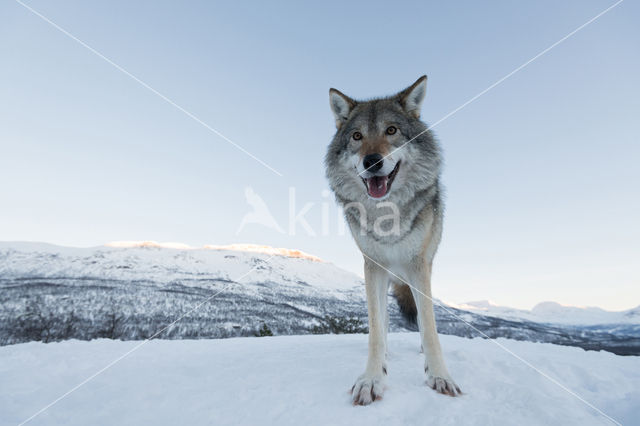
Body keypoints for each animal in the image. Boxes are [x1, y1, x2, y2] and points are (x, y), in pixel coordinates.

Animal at [324, 75, 460, 404]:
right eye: (357, 136)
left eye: (391, 130)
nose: (372, 161)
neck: (388, 216)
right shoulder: (373, 265)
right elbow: (376, 328)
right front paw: (372, 378)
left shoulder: (418, 265)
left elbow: (429, 326)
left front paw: (439, 375)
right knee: (383, 321)